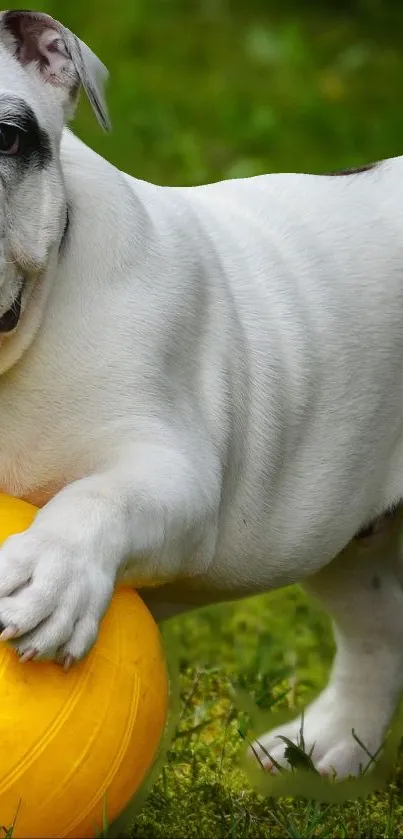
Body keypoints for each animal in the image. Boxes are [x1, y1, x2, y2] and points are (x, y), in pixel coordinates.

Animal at [0, 8, 403, 780]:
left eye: (5, 138)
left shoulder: (173, 472)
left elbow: (100, 497)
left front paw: (52, 572)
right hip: (342, 531)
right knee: (376, 630)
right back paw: (326, 748)